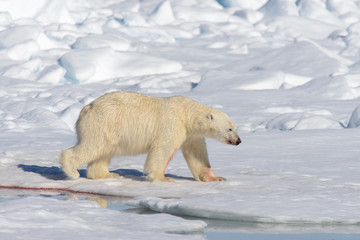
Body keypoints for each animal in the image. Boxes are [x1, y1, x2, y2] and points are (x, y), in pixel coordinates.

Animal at [59, 92, 242, 182]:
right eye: (229, 128)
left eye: (235, 128)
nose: (238, 141)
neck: (187, 113)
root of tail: (86, 109)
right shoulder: (173, 124)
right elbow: (163, 149)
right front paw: (163, 178)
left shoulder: (191, 134)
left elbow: (197, 154)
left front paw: (215, 177)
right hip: (103, 123)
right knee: (94, 146)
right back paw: (73, 172)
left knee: (103, 152)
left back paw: (108, 175)